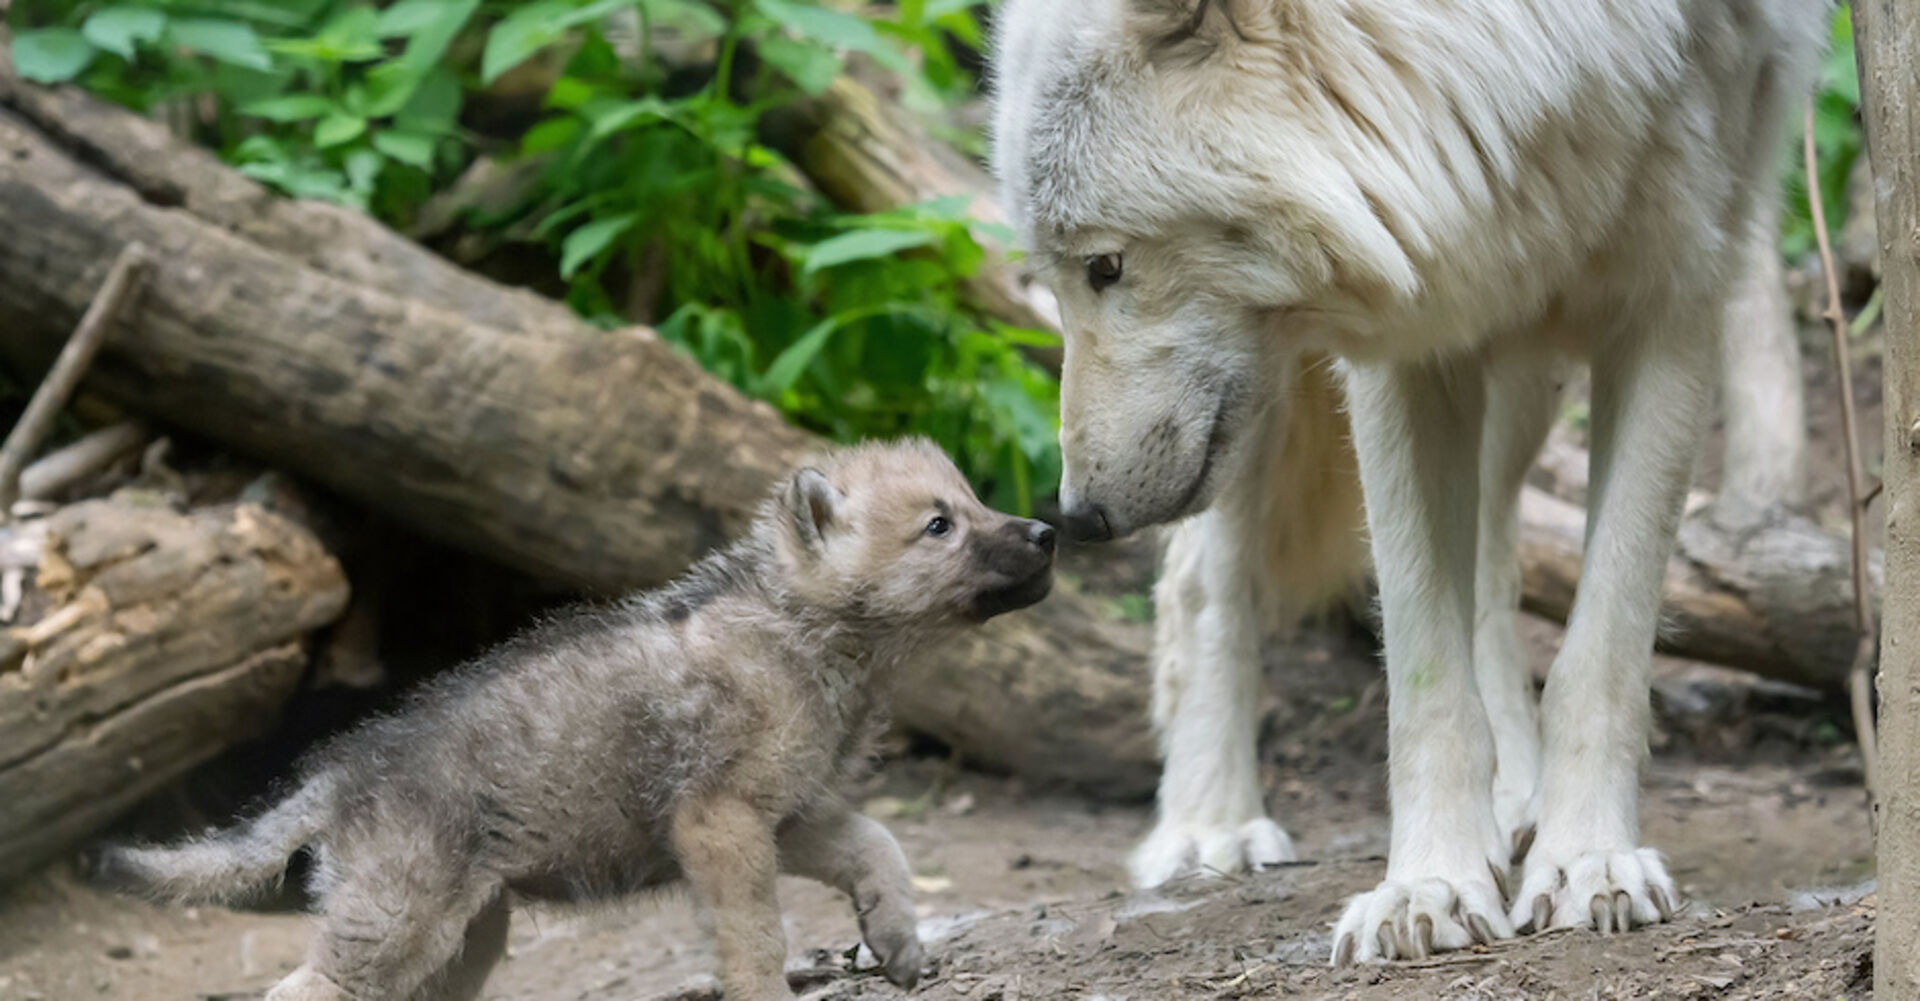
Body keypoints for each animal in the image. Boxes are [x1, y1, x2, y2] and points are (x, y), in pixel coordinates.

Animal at [87, 439, 1057, 1001]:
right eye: (939, 525)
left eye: (973, 501)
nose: (1050, 532)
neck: (801, 632)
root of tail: (341, 772)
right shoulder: (722, 821)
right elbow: (754, 937)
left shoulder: (791, 813)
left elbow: (879, 846)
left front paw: (898, 942)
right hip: (399, 925)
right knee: (301, 988)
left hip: (465, 940)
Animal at [990, 0, 1824, 963]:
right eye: (1062, 276)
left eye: (1105, 266)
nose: (1078, 514)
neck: (1568, 58)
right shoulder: (1409, 325)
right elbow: (1425, 670)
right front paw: (1429, 886)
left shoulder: (1674, 292)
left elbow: (1604, 648)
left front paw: (1589, 862)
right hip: (1262, 406)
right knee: (1204, 580)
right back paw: (1209, 824)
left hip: (1519, 370)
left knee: (1497, 555)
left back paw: (1518, 794)